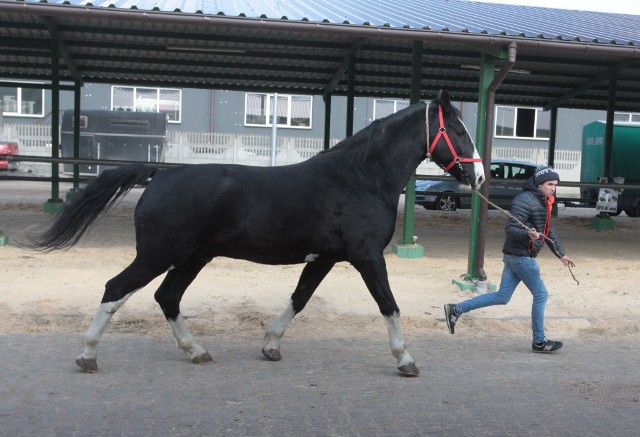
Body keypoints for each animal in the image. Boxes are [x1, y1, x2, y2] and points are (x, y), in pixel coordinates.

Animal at [27, 89, 482, 374]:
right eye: (459, 130)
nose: (478, 176)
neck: (360, 179)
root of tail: (159, 174)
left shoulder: (326, 258)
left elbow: (299, 299)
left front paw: (270, 345)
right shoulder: (366, 257)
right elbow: (389, 305)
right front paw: (405, 360)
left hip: (193, 257)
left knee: (167, 297)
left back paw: (196, 351)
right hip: (159, 254)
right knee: (116, 288)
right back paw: (87, 355)